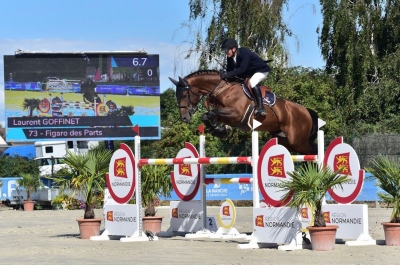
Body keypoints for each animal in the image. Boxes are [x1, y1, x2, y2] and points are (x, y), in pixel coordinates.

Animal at [169, 69, 318, 155]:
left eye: (184, 95)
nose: (184, 118)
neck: (221, 89)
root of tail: (306, 111)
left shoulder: (236, 114)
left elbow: (209, 114)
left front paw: (219, 130)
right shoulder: (225, 114)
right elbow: (207, 116)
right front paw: (220, 130)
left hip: (297, 140)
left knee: (315, 150)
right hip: (286, 140)